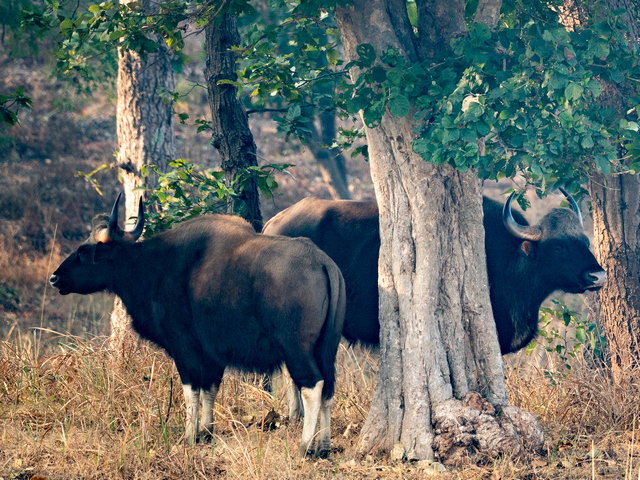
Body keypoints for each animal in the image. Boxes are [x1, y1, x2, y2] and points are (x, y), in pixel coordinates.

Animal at [49, 194, 346, 457]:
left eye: (83, 251)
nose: (54, 277)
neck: (153, 267)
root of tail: (322, 261)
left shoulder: (185, 348)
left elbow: (191, 389)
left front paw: (190, 435)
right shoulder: (212, 353)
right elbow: (210, 388)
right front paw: (206, 431)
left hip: (296, 348)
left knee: (313, 386)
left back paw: (305, 446)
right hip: (327, 348)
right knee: (329, 389)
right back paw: (324, 447)